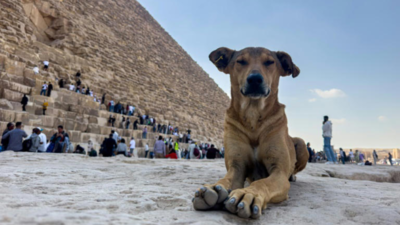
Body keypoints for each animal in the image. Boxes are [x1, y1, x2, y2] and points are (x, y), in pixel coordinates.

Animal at [192, 47, 308, 218]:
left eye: (269, 62)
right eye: (240, 61)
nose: (254, 79)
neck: (253, 117)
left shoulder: (279, 171)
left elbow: (262, 182)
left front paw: (248, 194)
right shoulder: (237, 166)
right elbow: (226, 179)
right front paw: (215, 188)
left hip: (301, 143)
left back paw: (292, 175)